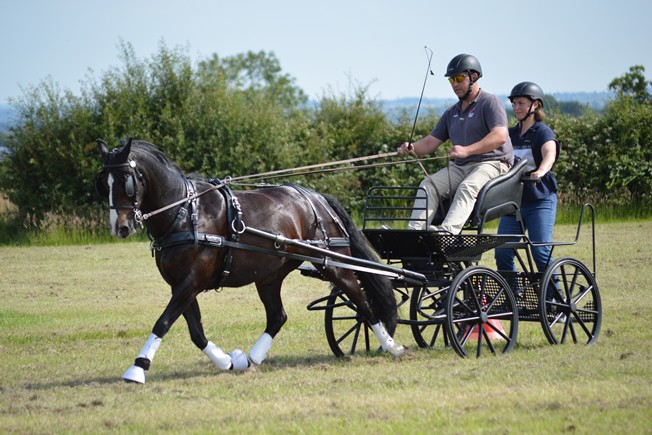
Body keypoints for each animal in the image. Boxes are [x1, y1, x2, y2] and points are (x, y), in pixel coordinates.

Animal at [95, 139, 404, 384]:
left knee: (362, 301)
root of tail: (317, 198)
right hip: (269, 275)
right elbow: (195, 331)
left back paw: (391, 346)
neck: (184, 211)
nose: (120, 228)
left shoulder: (191, 281)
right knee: (278, 316)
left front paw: (137, 369)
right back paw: (252, 358)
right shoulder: (180, 284)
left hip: (333, 264)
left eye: (127, 181)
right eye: (103, 183)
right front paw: (227, 361)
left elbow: (163, 322)